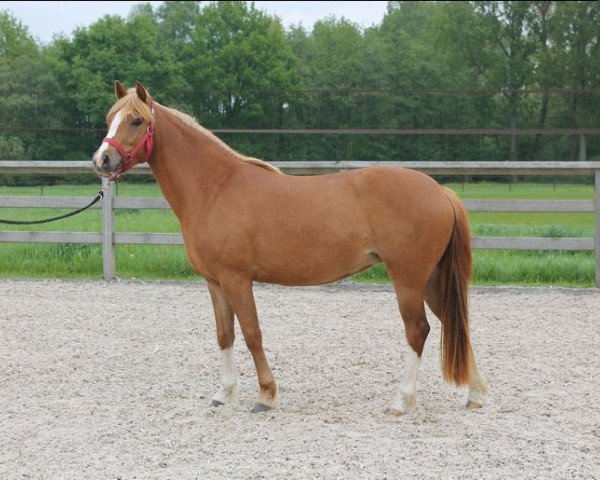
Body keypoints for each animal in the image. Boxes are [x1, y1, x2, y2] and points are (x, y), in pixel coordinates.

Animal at [92, 80, 488, 414]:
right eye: (111, 119)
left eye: (137, 121)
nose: (102, 160)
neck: (216, 188)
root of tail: (440, 191)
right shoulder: (215, 282)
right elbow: (225, 335)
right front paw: (224, 394)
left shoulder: (237, 279)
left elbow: (252, 334)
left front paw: (266, 396)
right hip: (431, 279)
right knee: (456, 322)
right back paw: (474, 394)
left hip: (408, 278)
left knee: (418, 330)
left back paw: (401, 401)